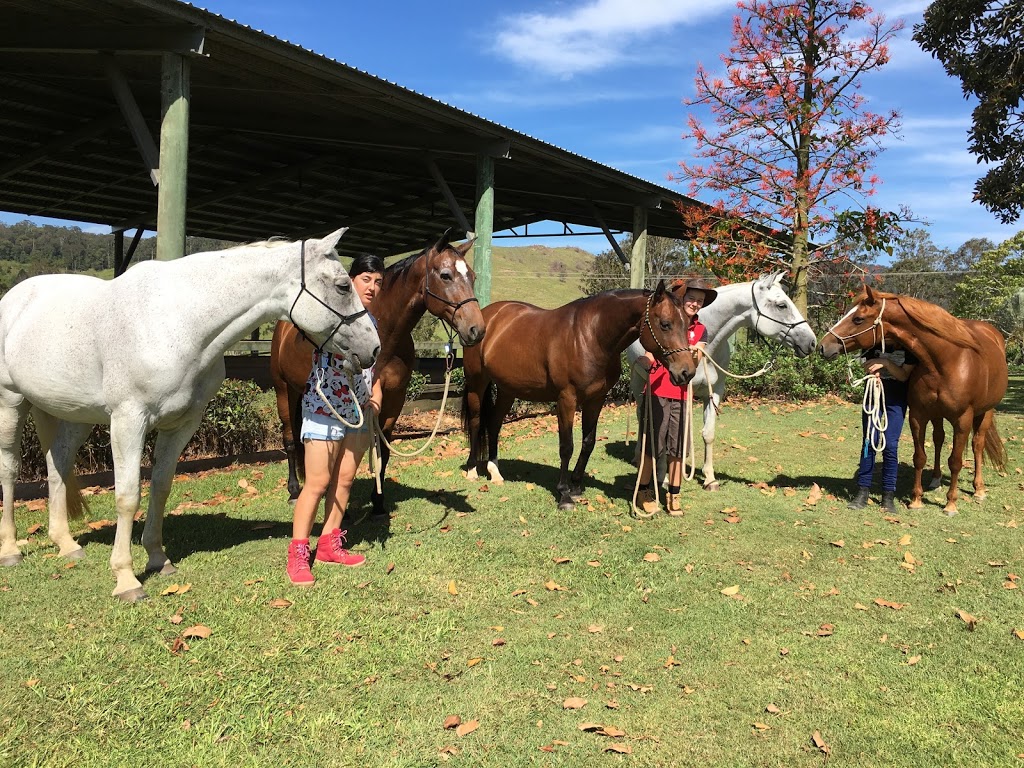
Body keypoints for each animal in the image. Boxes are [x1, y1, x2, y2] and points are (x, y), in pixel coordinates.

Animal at [0, 228, 380, 602]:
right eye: (342, 286)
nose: (373, 349)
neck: (178, 321)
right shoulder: (128, 421)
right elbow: (127, 496)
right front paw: (126, 578)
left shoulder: (181, 424)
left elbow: (161, 487)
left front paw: (158, 558)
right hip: (11, 403)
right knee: (10, 471)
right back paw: (11, 550)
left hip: (75, 416)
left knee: (57, 466)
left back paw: (66, 544)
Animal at [268, 231, 483, 514]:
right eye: (446, 275)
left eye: (472, 276)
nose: (476, 329)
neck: (385, 334)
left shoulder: (393, 399)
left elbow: (384, 449)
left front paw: (378, 502)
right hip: (284, 390)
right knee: (290, 438)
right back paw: (294, 490)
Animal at [462, 282, 696, 512]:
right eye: (665, 324)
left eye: (687, 324)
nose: (687, 372)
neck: (590, 336)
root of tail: (487, 316)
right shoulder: (567, 400)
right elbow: (567, 447)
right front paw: (564, 494)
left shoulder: (596, 400)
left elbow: (588, 442)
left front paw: (576, 485)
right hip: (477, 384)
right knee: (476, 422)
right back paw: (472, 469)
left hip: (507, 390)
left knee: (494, 424)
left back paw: (495, 471)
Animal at [622, 274, 815, 489]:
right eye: (782, 305)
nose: (811, 342)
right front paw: (663, 477)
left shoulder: (714, 392)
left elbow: (707, 434)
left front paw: (709, 478)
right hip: (638, 383)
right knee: (642, 417)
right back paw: (639, 457)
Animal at [815, 288, 1007, 518]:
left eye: (858, 319)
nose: (823, 346)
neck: (945, 361)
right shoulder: (918, 415)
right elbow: (919, 457)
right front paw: (916, 500)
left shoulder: (963, 420)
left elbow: (955, 461)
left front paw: (950, 504)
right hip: (937, 415)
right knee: (939, 439)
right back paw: (935, 480)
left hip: (985, 412)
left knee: (977, 444)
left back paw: (979, 489)